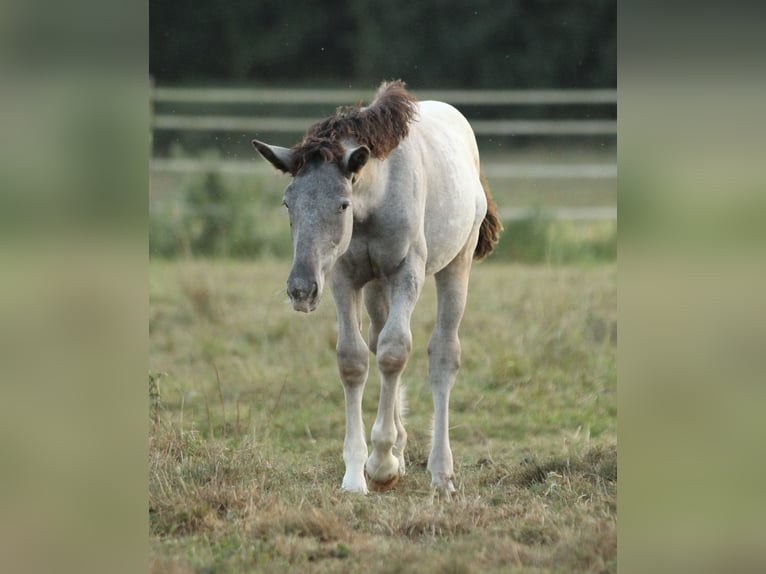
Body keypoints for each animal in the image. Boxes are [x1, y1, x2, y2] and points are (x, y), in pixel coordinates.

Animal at [254, 81, 504, 496]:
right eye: (288, 204)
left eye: (342, 204)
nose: (301, 290)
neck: (376, 197)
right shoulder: (343, 277)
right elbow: (354, 359)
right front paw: (357, 474)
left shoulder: (406, 273)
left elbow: (393, 352)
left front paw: (383, 462)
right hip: (375, 288)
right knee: (376, 338)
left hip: (456, 264)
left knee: (442, 353)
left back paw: (441, 473)